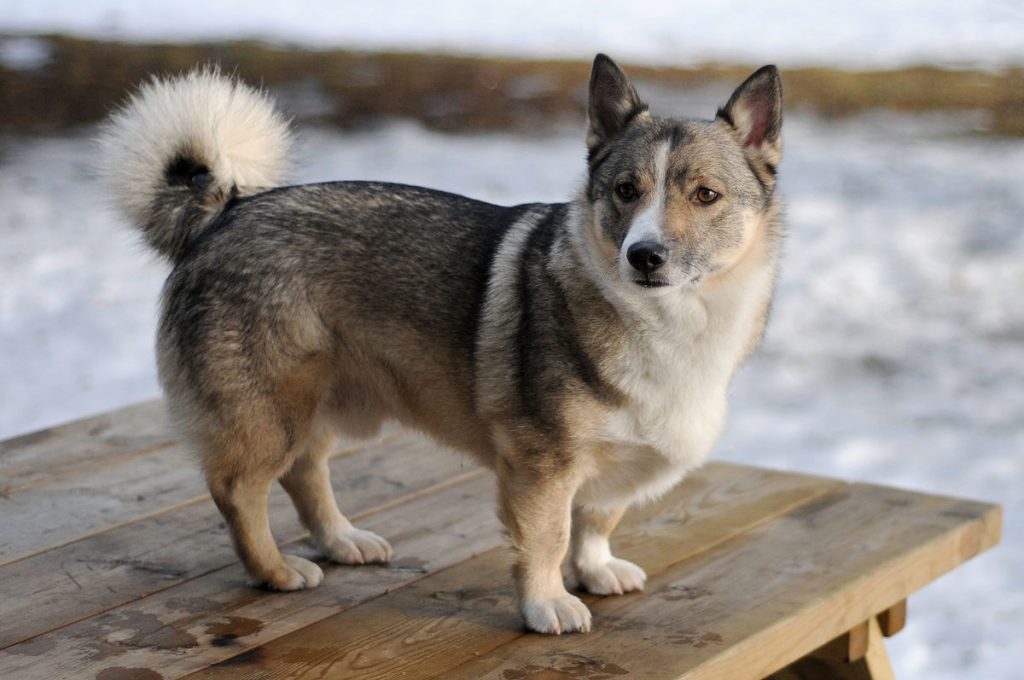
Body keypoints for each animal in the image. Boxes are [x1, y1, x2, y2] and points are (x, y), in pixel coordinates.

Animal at [97, 53, 782, 630]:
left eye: (705, 195)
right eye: (625, 191)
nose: (644, 256)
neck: (671, 320)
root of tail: (225, 210)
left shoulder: (605, 465)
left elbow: (596, 518)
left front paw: (594, 570)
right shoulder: (542, 463)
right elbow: (549, 537)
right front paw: (547, 603)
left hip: (319, 403)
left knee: (305, 472)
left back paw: (341, 539)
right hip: (271, 412)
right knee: (240, 490)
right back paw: (276, 571)